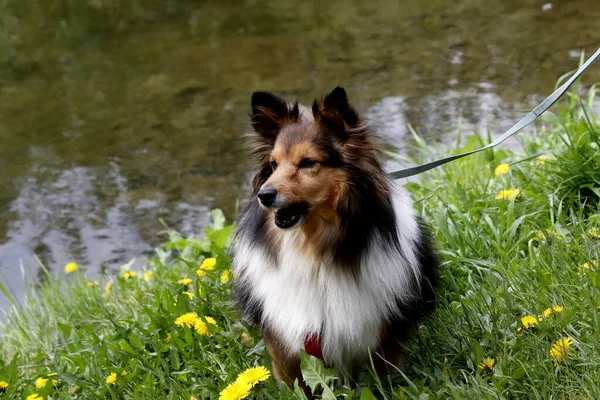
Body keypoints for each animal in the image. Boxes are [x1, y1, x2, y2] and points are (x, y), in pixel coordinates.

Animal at [232, 86, 438, 388]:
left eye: (308, 162)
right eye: (273, 164)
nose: (264, 195)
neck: (314, 248)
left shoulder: (380, 335)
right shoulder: (285, 340)